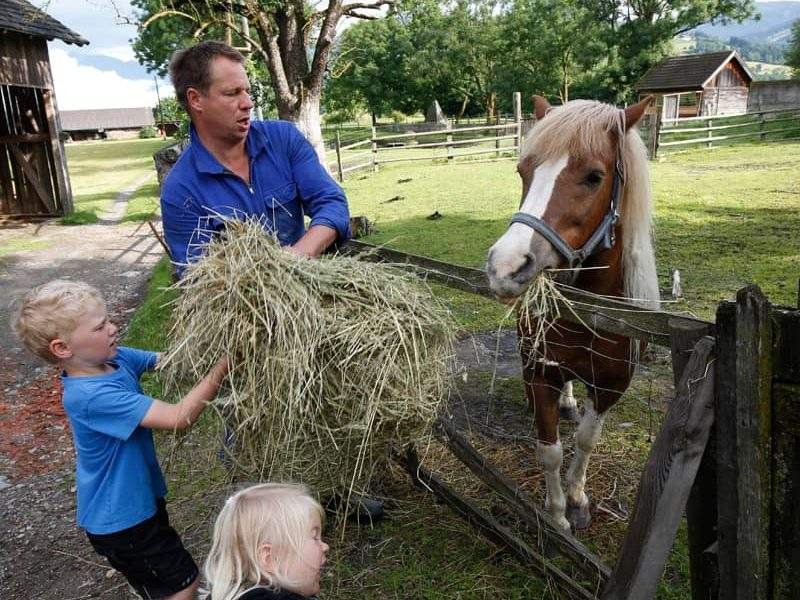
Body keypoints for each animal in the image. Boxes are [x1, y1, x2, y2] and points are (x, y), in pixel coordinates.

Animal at [484, 96, 660, 532]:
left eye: (594, 177)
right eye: (523, 171)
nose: (505, 267)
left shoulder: (612, 387)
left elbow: (585, 440)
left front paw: (578, 498)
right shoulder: (538, 374)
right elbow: (550, 450)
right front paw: (557, 516)